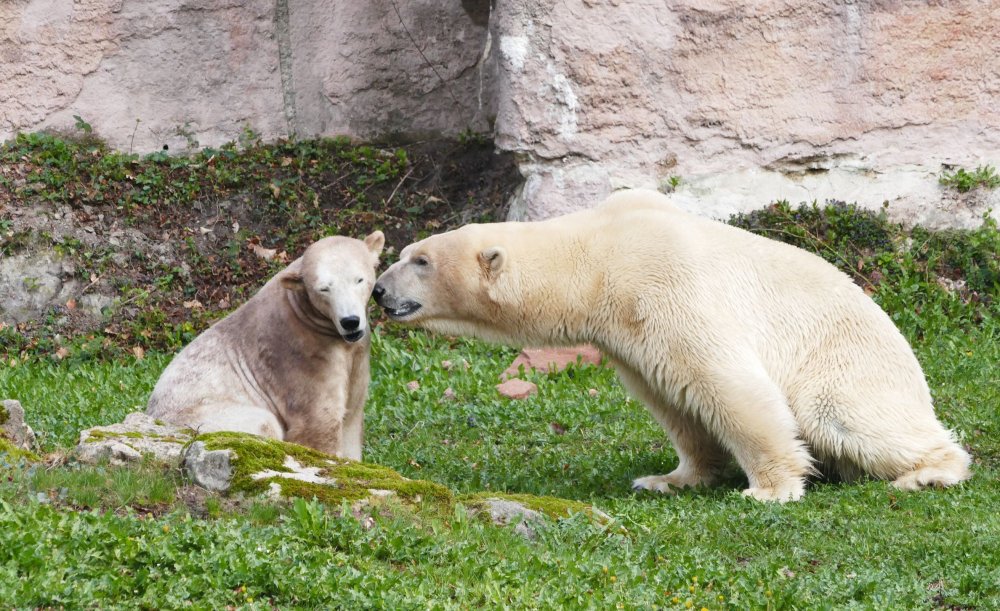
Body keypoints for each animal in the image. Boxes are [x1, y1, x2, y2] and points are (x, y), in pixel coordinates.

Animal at [146, 232, 384, 462]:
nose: (350, 321)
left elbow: (352, 416)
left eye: (359, 279)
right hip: (206, 415)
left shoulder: (356, 355)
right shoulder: (301, 355)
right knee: (262, 422)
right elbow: (318, 421)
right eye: (323, 289)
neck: (302, 312)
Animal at [374, 191, 968, 502]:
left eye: (421, 260)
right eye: (403, 253)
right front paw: (667, 478)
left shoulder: (664, 285)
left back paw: (928, 471)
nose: (379, 291)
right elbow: (674, 399)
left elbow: (728, 384)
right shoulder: (626, 332)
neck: (598, 255)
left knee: (845, 417)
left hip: (849, 365)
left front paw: (768, 488)